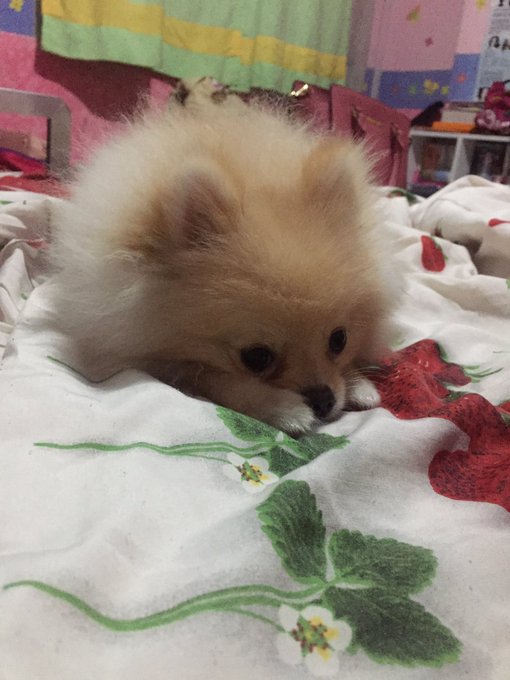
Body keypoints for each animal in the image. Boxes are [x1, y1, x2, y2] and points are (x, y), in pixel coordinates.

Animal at [51, 79, 393, 434]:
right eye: (257, 357)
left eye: (339, 339)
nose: (324, 400)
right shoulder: (154, 356)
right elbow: (219, 380)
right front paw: (283, 407)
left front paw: (358, 383)